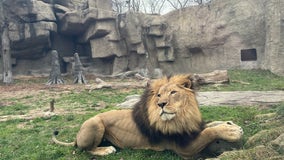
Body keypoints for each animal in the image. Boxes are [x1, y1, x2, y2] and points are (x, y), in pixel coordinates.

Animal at [52, 74, 243, 159]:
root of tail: (77, 135)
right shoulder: (183, 147)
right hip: (94, 122)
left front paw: (229, 124)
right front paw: (233, 132)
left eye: (173, 93)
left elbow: (209, 125)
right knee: (85, 149)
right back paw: (105, 150)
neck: (183, 114)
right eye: (158, 96)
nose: (161, 104)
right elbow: (208, 132)